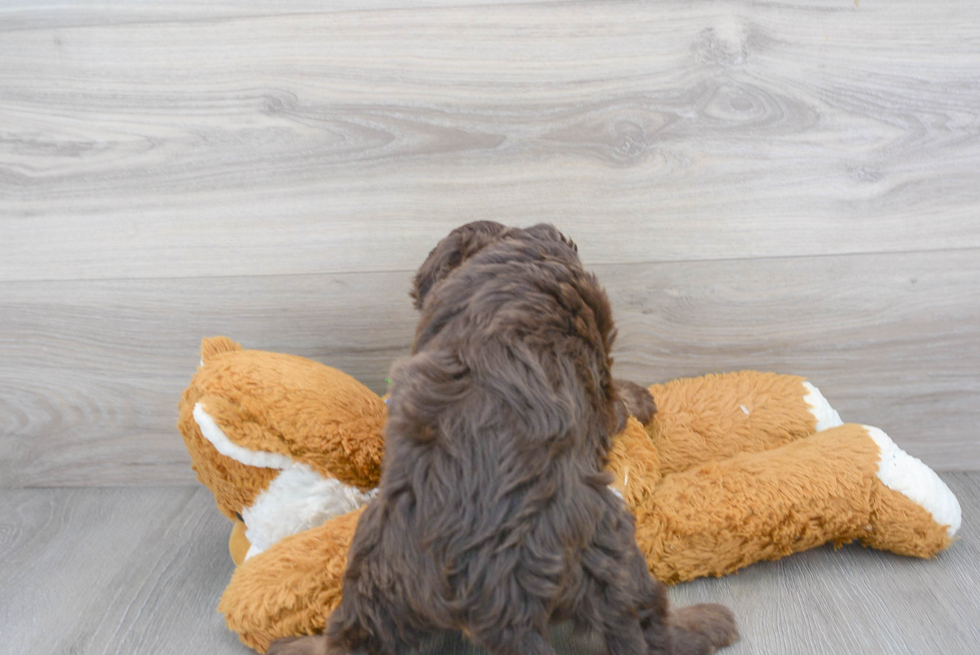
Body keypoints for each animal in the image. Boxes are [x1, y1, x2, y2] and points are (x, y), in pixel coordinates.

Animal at [268, 224, 736, 655]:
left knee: (347, 640)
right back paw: (708, 623)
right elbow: (612, 398)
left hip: (374, 580)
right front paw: (638, 399)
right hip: (611, 556)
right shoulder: (596, 364)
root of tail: (496, 597)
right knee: (647, 627)